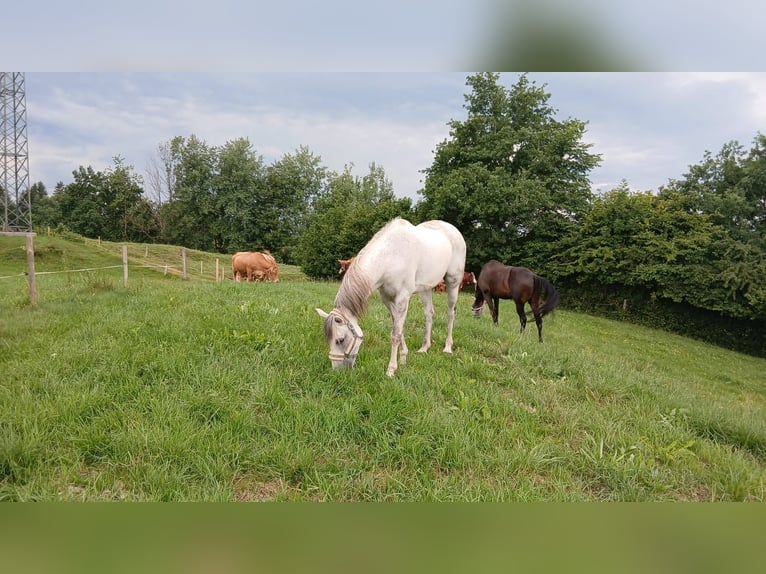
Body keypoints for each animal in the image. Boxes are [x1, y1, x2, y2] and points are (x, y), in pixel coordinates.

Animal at [316, 217, 467, 377]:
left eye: (340, 340)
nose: (338, 371)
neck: (390, 257)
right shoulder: (387, 299)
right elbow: (399, 330)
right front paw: (403, 357)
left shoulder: (402, 298)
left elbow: (395, 335)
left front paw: (391, 369)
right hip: (426, 288)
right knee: (429, 314)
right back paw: (424, 348)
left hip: (453, 282)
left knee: (450, 313)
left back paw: (447, 348)